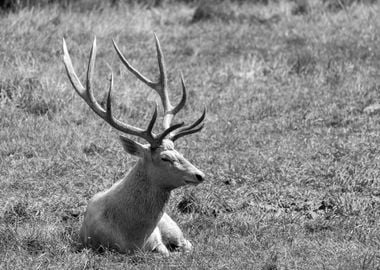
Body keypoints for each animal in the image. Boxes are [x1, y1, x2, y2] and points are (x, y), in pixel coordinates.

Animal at [62, 34, 206, 255]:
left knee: (188, 243)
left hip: (172, 225)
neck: (134, 237)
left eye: (180, 152)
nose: (200, 175)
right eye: (165, 157)